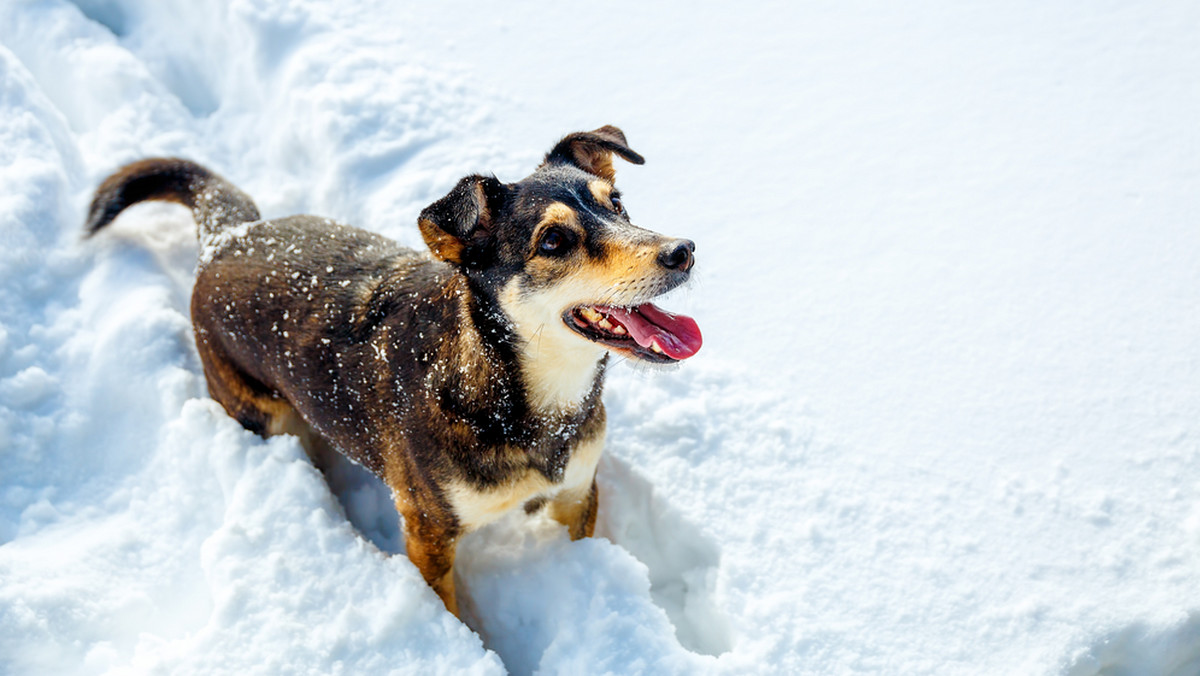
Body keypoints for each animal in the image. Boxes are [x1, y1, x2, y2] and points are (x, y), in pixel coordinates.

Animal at [87, 127, 700, 619]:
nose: (683, 250)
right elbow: (451, 613)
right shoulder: (429, 530)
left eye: (616, 203)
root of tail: (229, 237)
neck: (514, 394)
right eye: (553, 240)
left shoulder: (577, 492)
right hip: (256, 409)